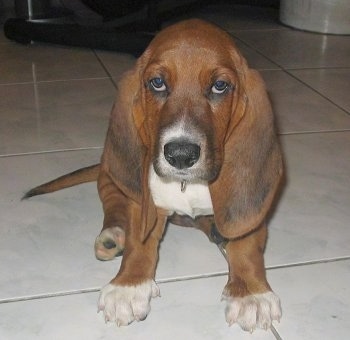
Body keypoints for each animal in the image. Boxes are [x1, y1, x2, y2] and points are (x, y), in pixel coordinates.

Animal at [23, 19, 282, 332]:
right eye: (157, 83)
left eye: (220, 86)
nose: (180, 154)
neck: (187, 185)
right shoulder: (144, 202)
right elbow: (139, 242)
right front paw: (129, 285)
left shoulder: (252, 216)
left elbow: (245, 244)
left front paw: (250, 294)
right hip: (112, 176)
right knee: (113, 205)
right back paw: (112, 236)